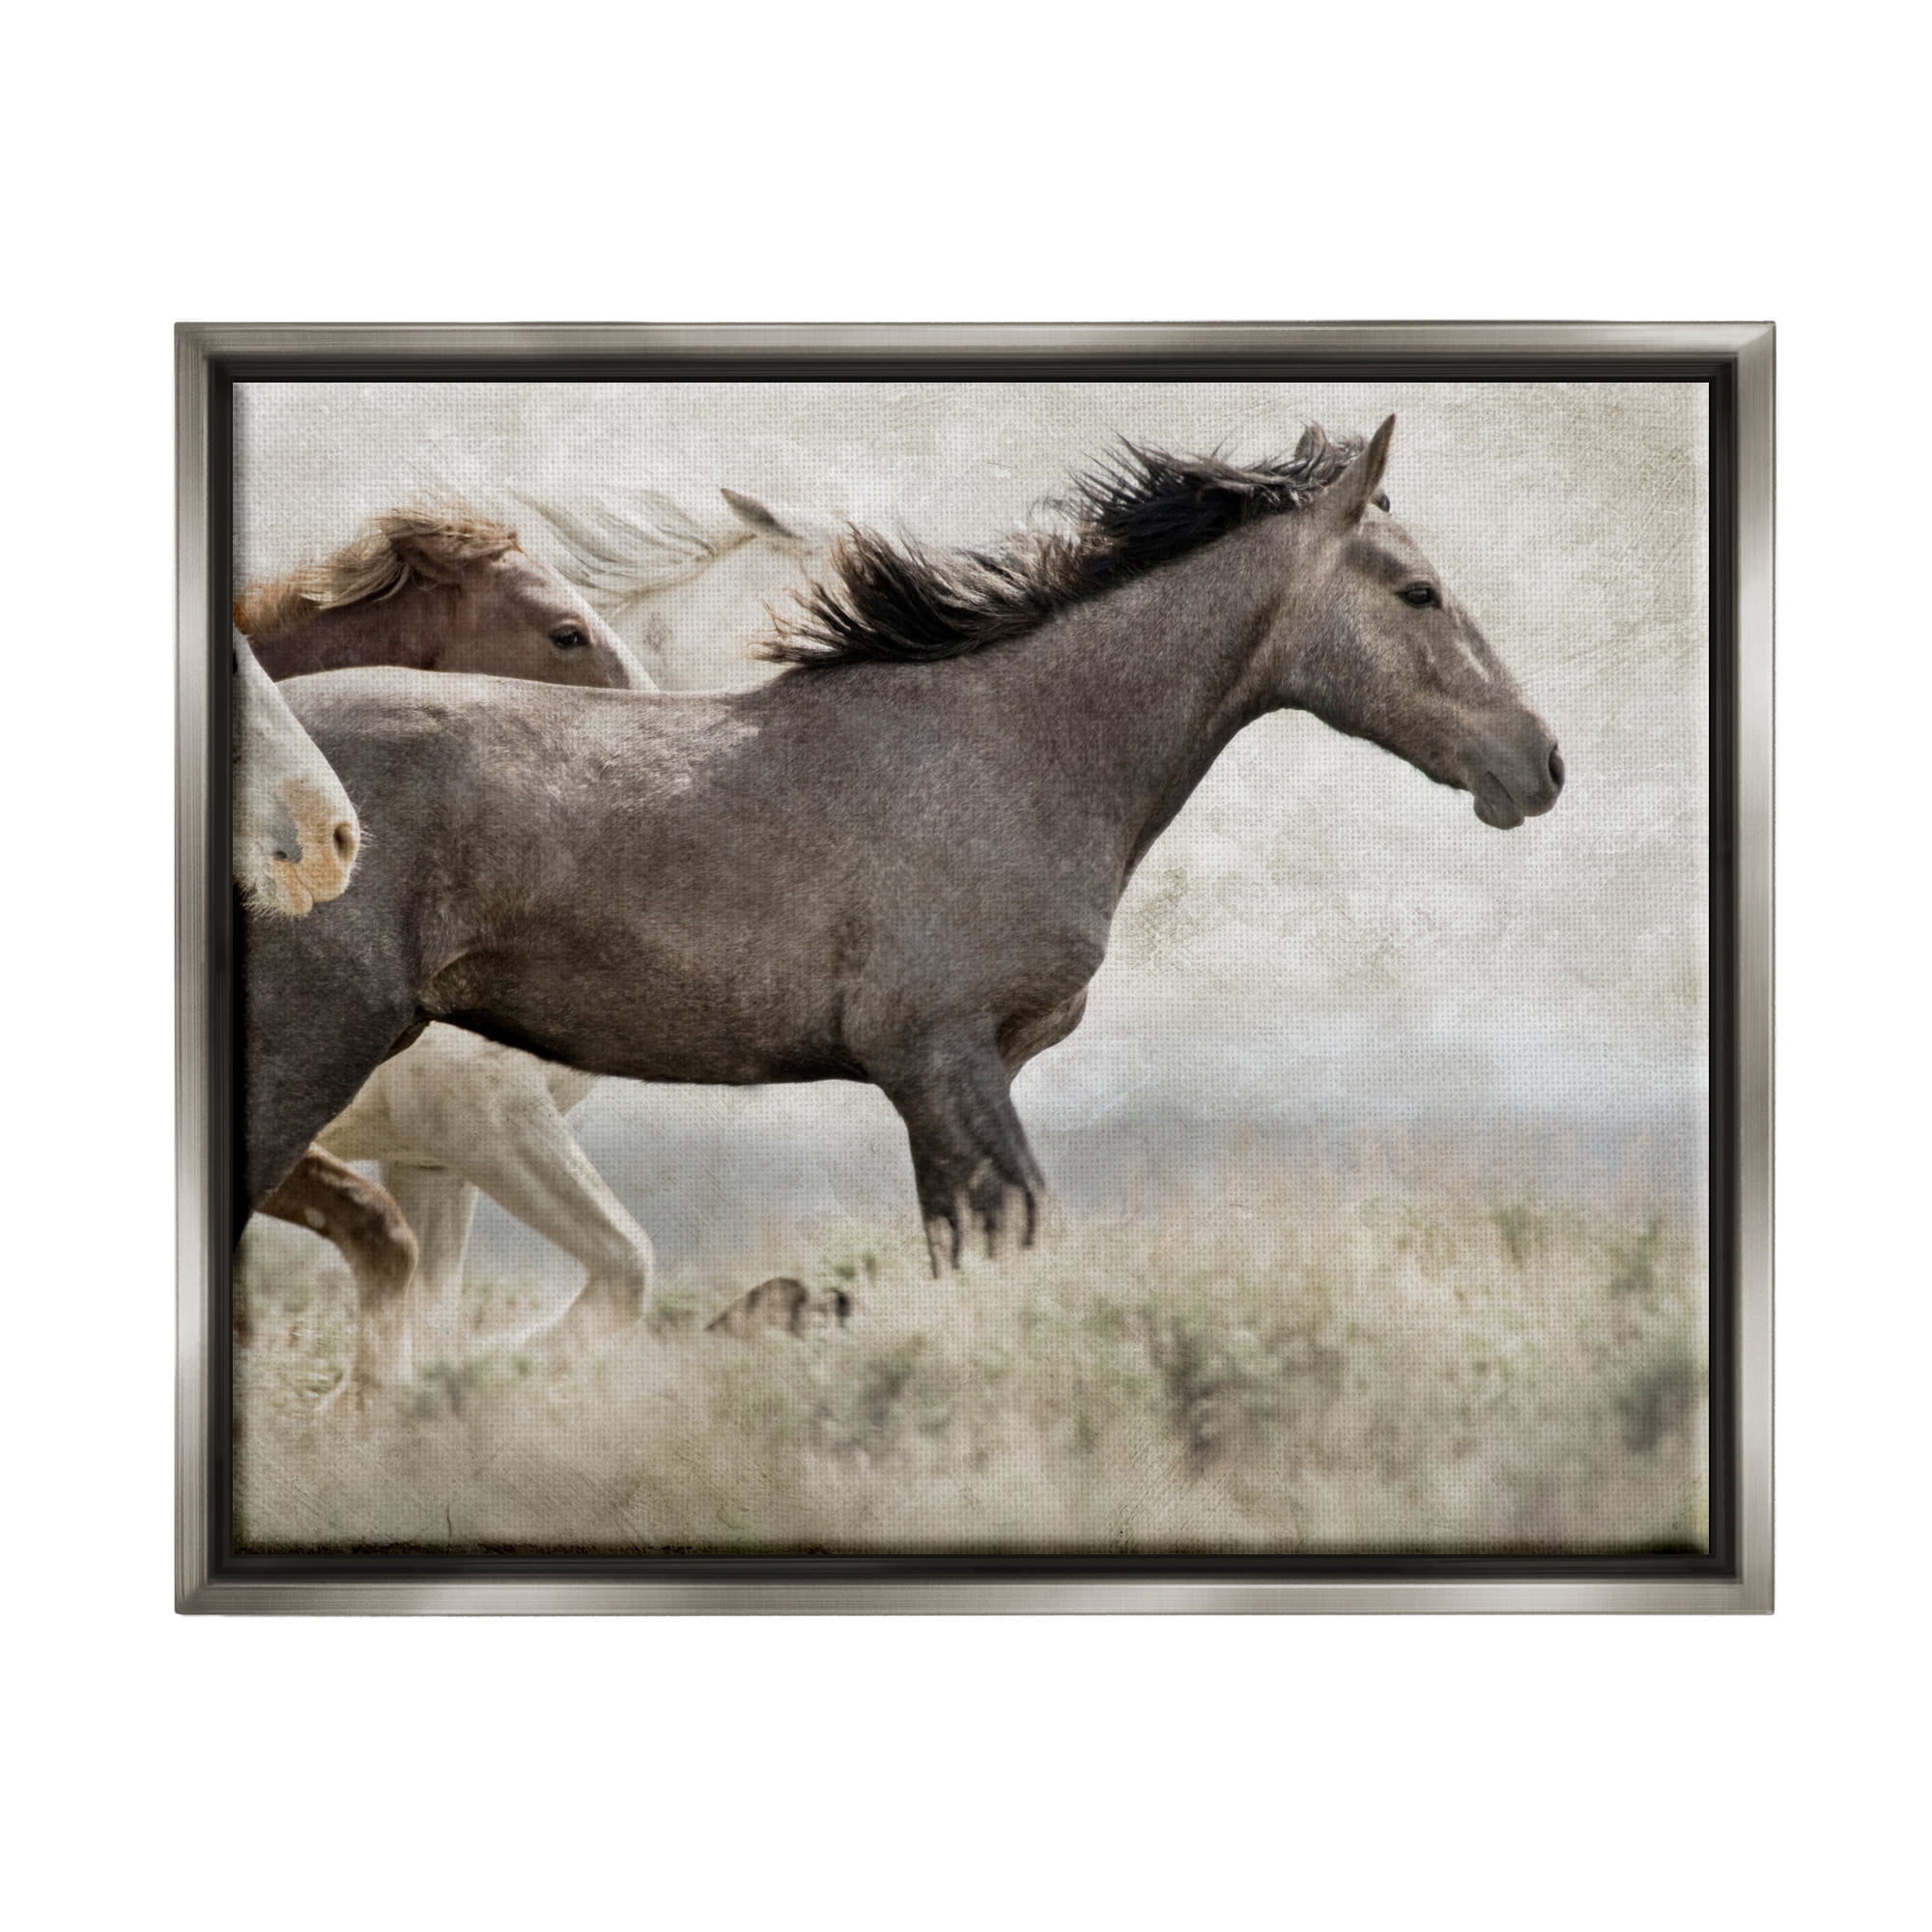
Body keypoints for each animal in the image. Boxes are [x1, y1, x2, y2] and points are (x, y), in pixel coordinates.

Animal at [241, 420, 1565, 1374]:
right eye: (1415, 593)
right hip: (312, 1051)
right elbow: (1019, 1240)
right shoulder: (941, 1055)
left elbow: (965, 1256)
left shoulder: (951, 1078)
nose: (1537, 762)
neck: (1007, 745)